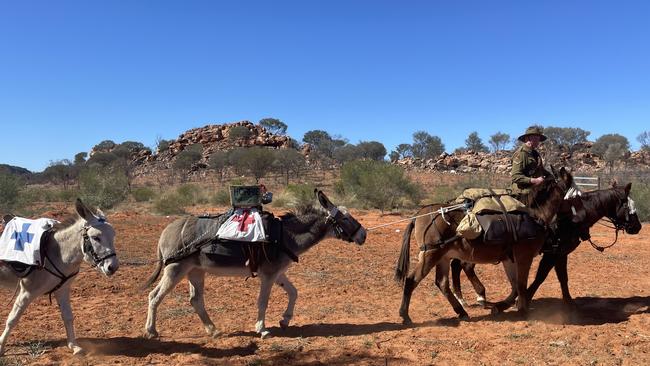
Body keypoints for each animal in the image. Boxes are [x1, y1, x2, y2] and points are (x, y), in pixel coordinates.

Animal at [392, 167, 568, 324]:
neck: (535, 214)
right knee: (411, 280)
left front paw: (501, 306)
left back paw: (462, 311)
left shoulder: (509, 259)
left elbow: (515, 285)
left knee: (442, 283)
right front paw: (521, 310)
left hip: (443, 257)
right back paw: (405, 315)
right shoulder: (524, 257)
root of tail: (419, 214)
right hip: (431, 254)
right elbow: (521, 284)